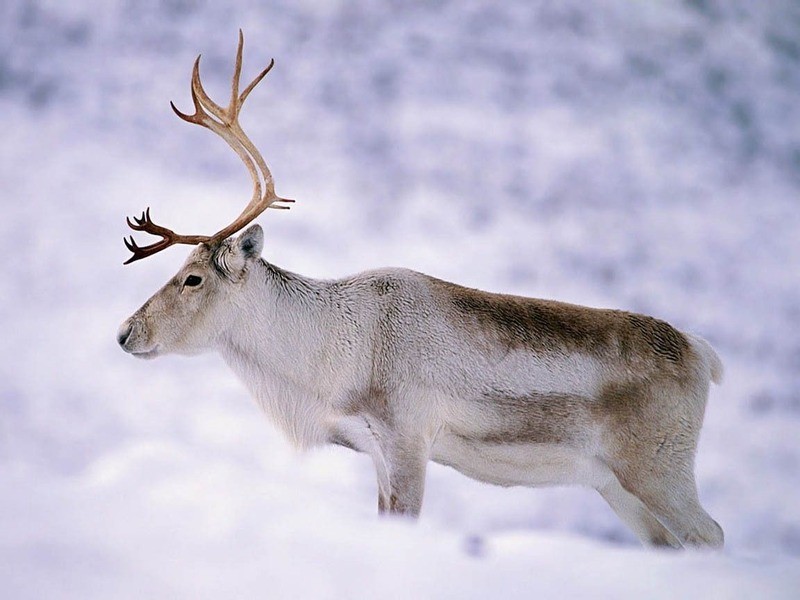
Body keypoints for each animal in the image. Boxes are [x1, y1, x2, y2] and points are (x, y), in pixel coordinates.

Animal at [118, 31, 725, 550]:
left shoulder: (409, 439)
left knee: (710, 533)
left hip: (658, 469)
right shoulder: (376, 450)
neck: (332, 355)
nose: (125, 331)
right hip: (617, 488)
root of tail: (702, 353)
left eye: (193, 277)